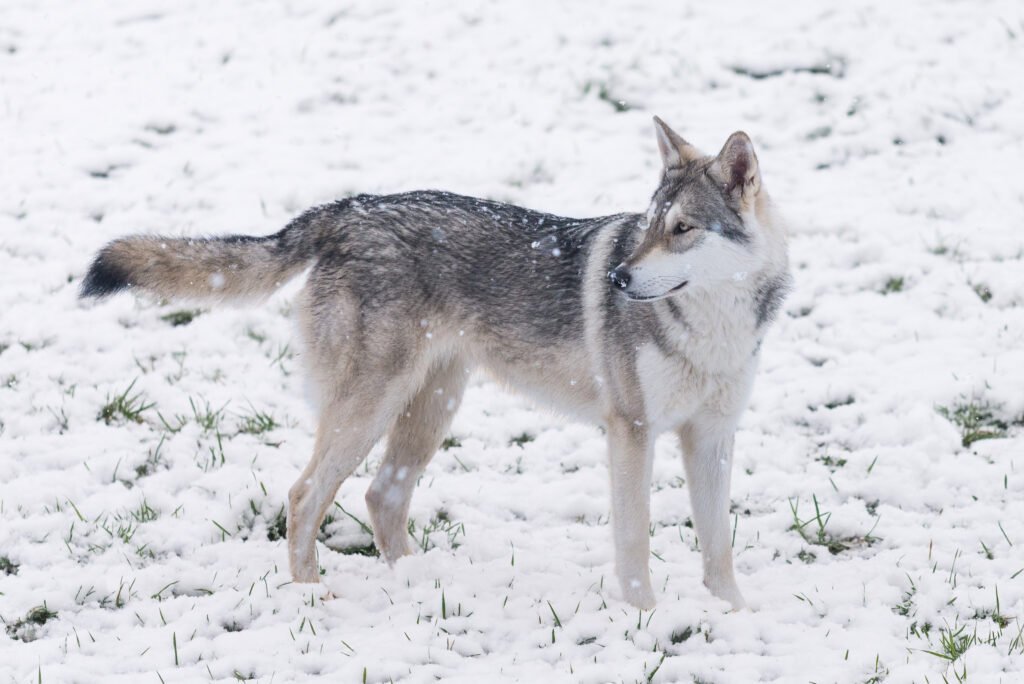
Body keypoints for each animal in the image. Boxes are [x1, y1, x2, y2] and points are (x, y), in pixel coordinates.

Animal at [80, 117, 790, 609]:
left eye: (682, 229)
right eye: (646, 226)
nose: (616, 277)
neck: (713, 327)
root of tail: (347, 208)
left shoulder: (713, 438)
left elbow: (718, 546)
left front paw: (734, 615)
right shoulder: (632, 433)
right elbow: (635, 540)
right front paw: (646, 619)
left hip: (431, 408)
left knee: (381, 496)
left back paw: (418, 583)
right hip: (371, 410)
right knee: (306, 495)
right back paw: (312, 597)